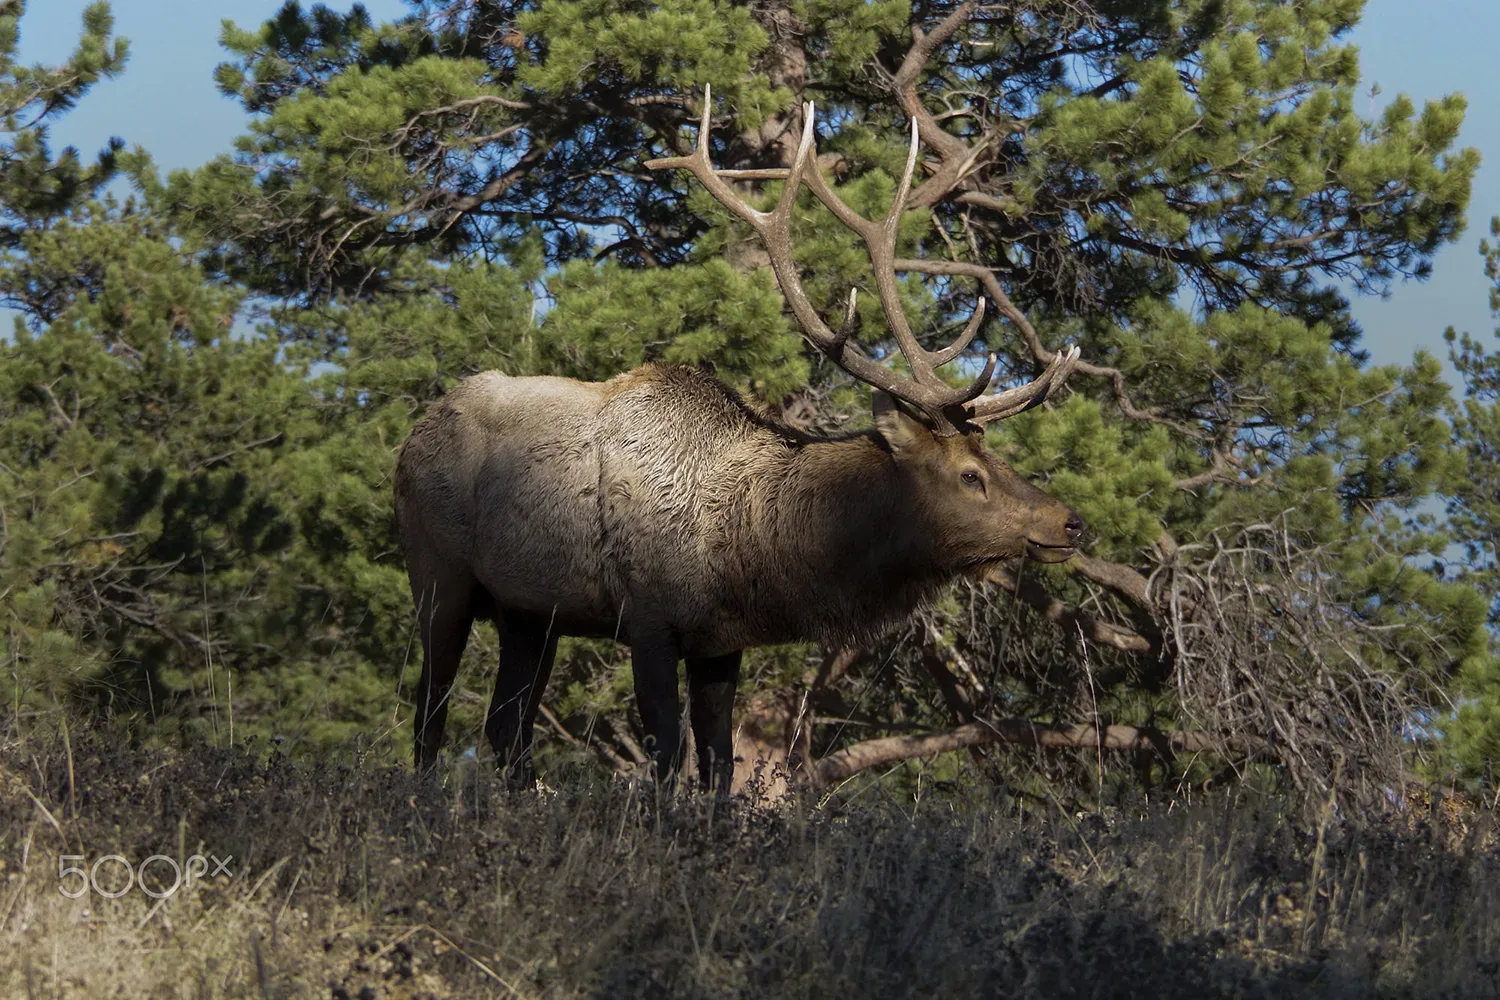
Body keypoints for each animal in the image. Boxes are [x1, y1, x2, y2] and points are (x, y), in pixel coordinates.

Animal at [394, 89, 1085, 793]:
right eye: (970, 474)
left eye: (995, 457)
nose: (1069, 521)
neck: (743, 549)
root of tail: (413, 435)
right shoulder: (648, 619)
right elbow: (667, 759)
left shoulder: (720, 643)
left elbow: (720, 769)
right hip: (437, 575)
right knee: (428, 717)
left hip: (529, 613)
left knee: (507, 729)